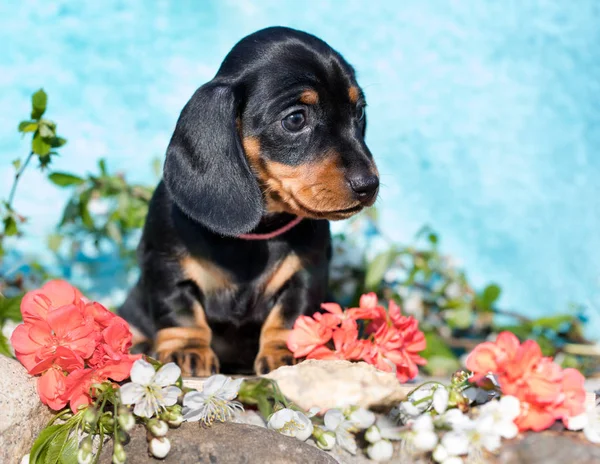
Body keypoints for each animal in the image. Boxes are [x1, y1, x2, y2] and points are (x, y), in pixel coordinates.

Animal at [119, 26, 378, 376]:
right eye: (295, 119)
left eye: (359, 112)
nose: (369, 185)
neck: (255, 232)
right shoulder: (166, 265)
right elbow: (180, 311)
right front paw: (187, 349)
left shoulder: (305, 275)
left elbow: (290, 317)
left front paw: (286, 352)